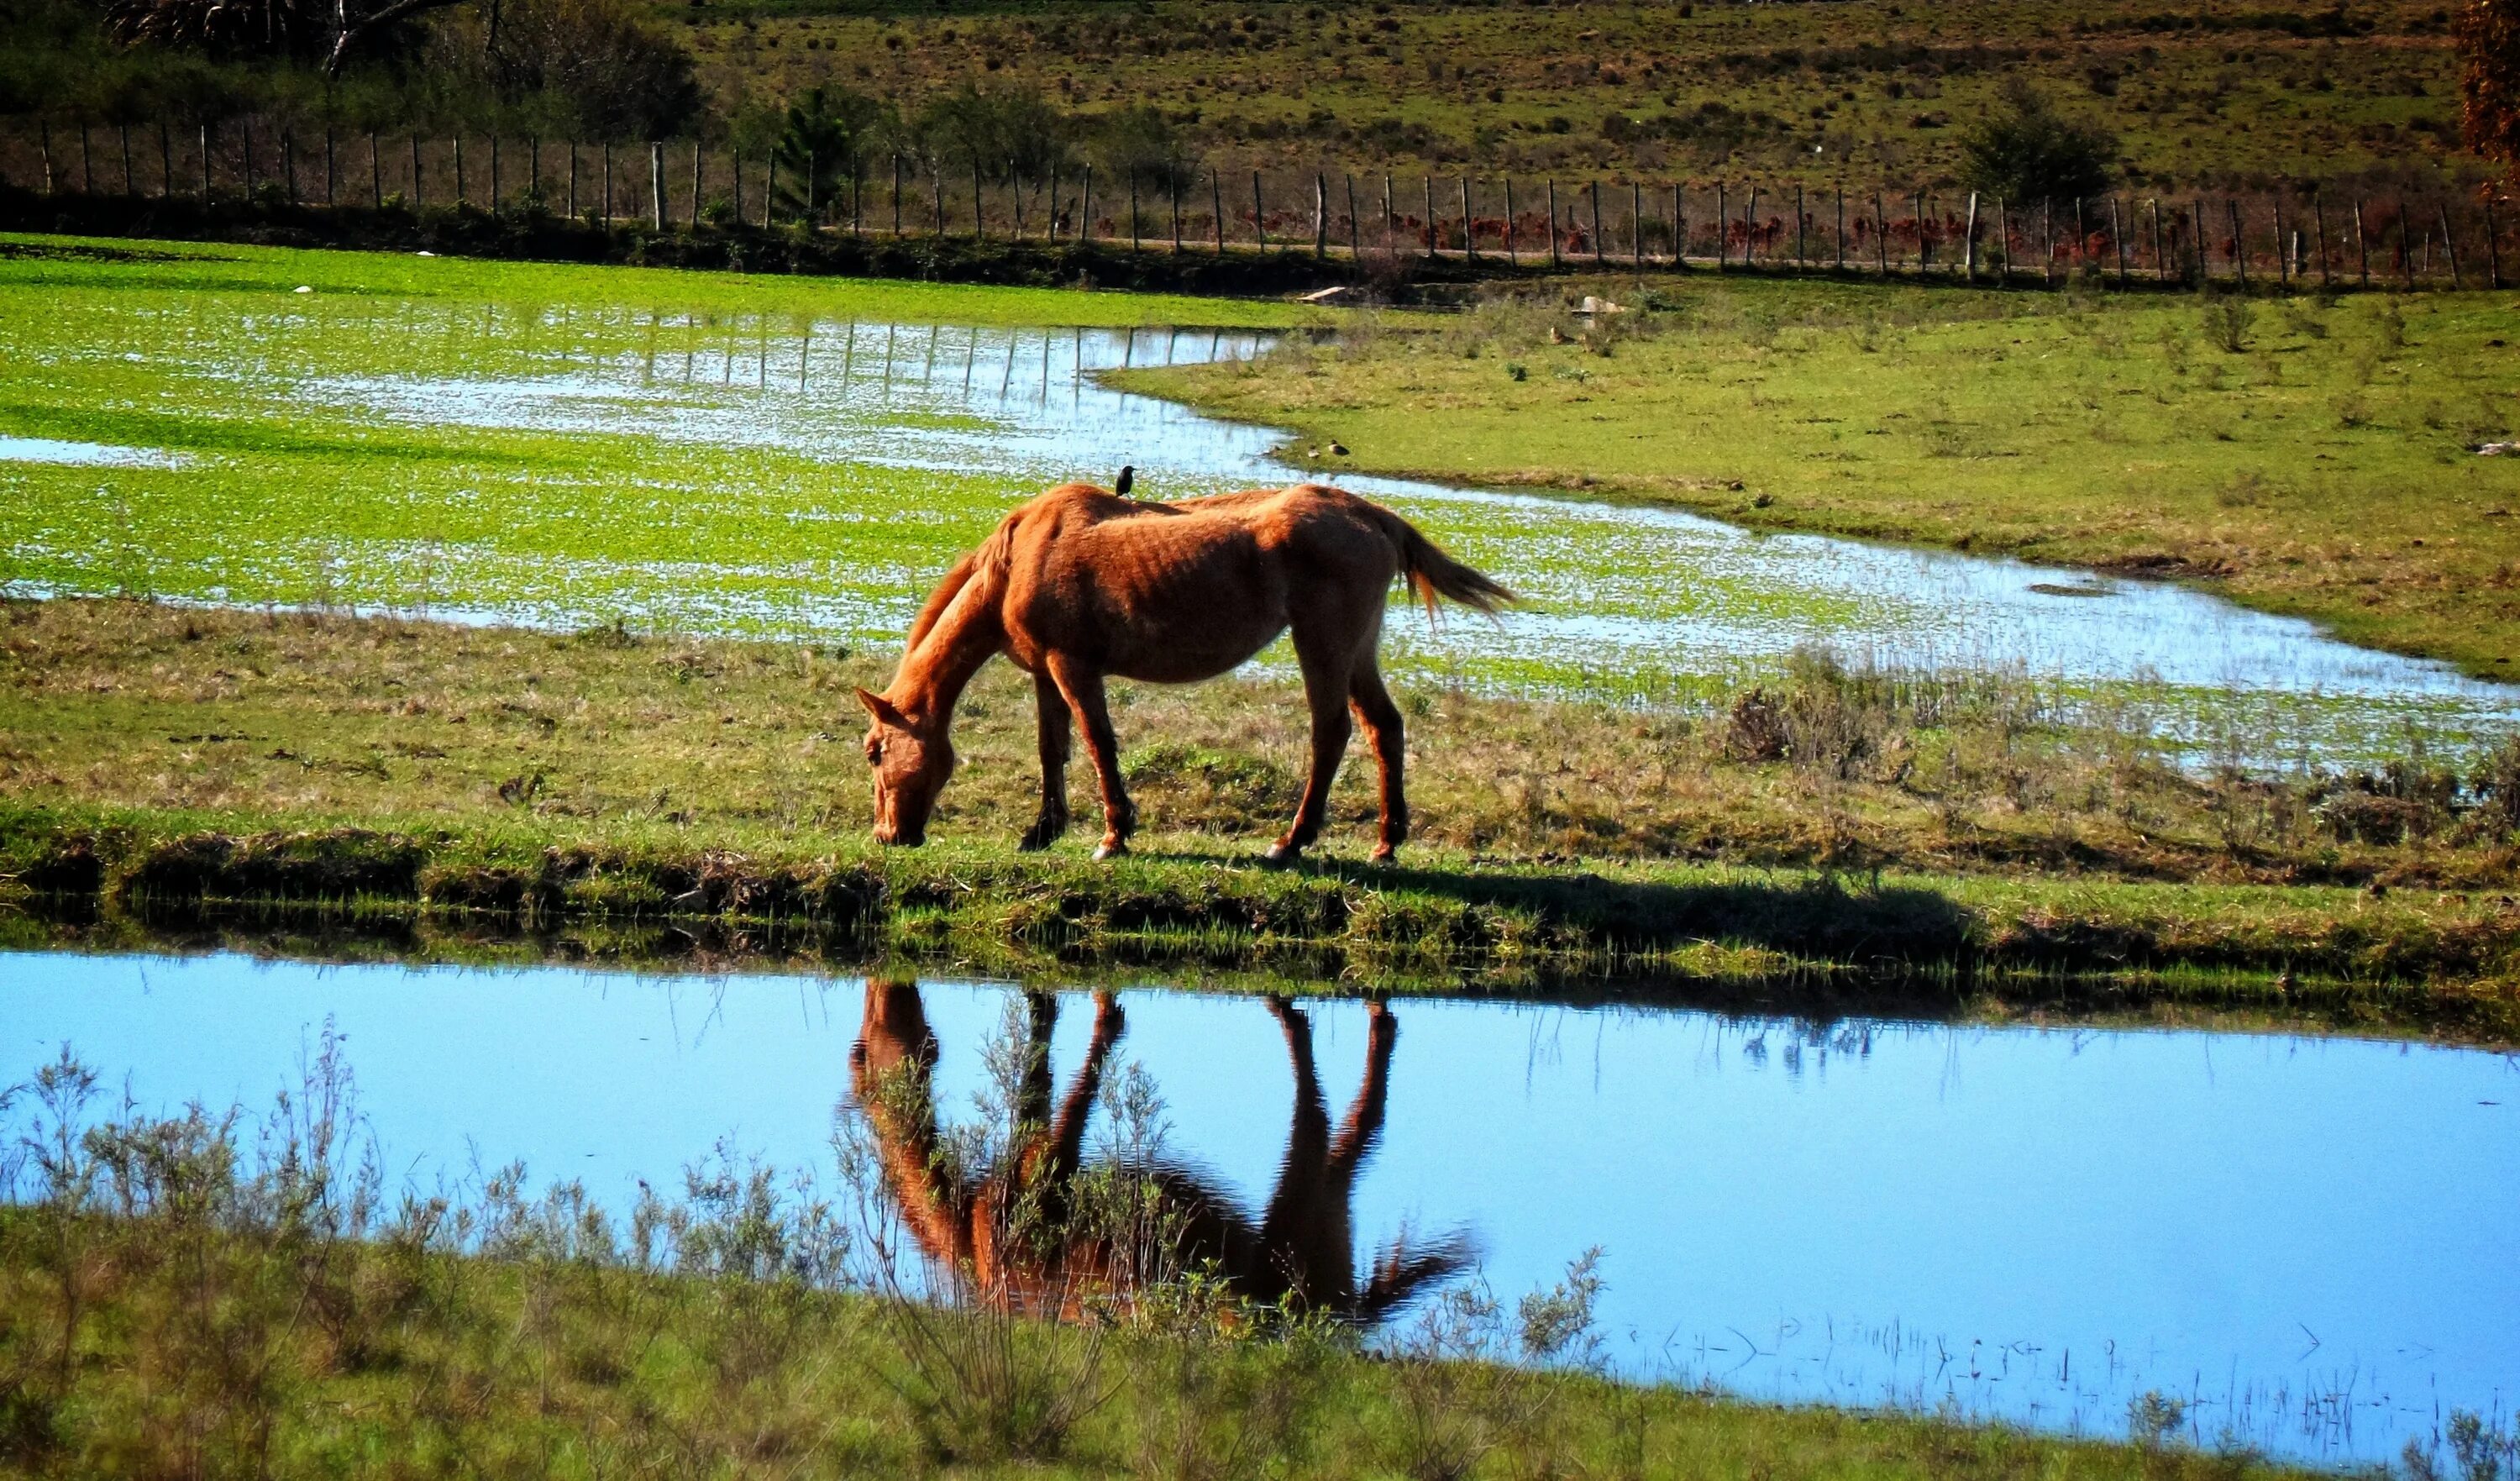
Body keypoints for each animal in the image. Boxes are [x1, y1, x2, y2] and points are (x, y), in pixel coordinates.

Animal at [857, 481, 1502, 861]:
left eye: (873, 751)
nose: (888, 835)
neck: (1018, 561)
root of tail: (1375, 517)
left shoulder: (1073, 667)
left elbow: (1098, 742)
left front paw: (1114, 835)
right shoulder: (1046, 674)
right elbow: (1052, 749)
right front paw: (1042, 831)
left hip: (1323, 642)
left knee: (1331, 732)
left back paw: (1291, 842)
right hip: (1359, 648)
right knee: (1382, 728)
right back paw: (1386, 843)